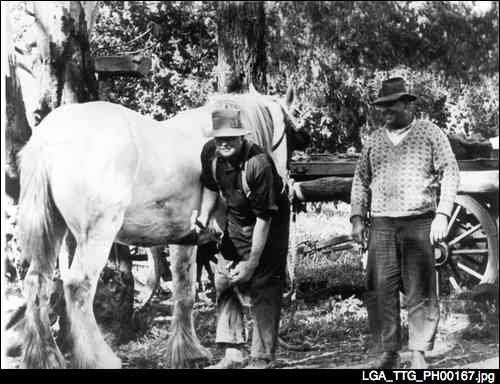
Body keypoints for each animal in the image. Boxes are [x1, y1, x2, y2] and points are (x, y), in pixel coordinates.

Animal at [18, 88, 304, 368]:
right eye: (291, 132)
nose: (284, 185)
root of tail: (48, 138)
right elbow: (195, 290)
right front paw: (198, 352)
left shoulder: (187, 240)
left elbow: (188, 289)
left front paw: (187, 351)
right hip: (96, 236)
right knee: (78, 286)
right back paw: (99, 359)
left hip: (55, 234)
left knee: (38, 283)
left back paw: (46, 357)